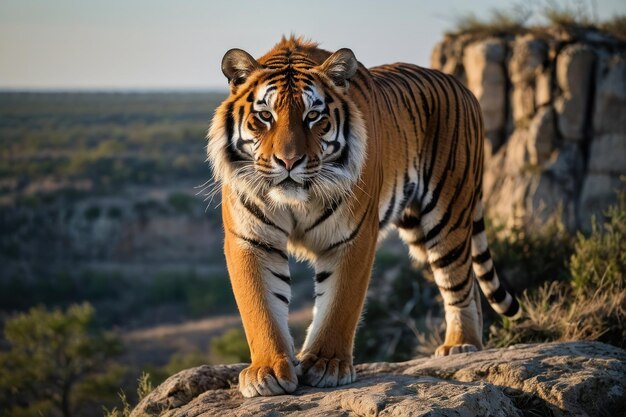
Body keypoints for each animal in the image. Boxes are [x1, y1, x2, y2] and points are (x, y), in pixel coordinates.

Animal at [205, 36, 516, 396]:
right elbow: (261, 306)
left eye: (313, 116)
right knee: (468, 281)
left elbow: (339, 304)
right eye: (265, 115)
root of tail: (462, 86)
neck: (298, 201)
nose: (289, 161)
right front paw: (267, 370)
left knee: (458, 279)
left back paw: (461, 344)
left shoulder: (352, 237)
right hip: (417, 228)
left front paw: (326, 364)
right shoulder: (251, 239)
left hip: (447, 214)